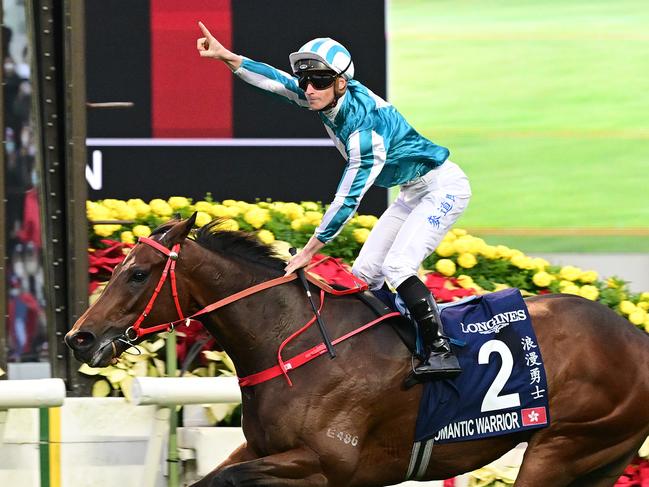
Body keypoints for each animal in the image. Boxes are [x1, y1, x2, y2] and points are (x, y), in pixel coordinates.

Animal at [66, 217, 648, 487]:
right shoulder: (259, 448)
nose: (80, 338)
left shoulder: (326, 465)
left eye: (138, 273)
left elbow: (225, 478)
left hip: (564, 445)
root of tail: (635, 336)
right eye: (117, 266)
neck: (291, 344)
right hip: (601, 457)